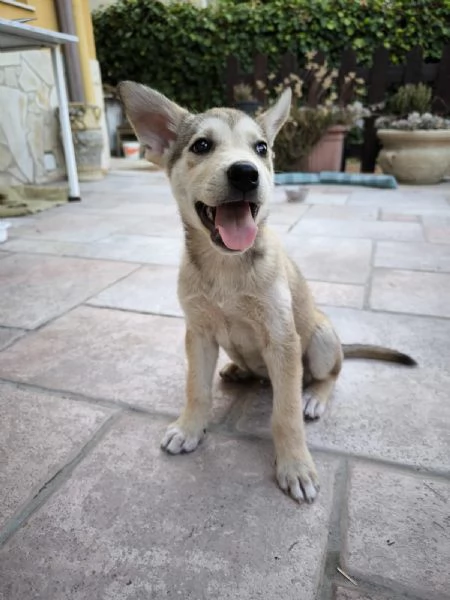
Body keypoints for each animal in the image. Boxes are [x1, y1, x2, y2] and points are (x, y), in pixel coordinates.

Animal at [117, 83, 414, 506]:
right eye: (201, 145)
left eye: (260, 148)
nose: (245, 173)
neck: (227, 266)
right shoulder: (198, 333)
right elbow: (196, 389)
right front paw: (190, 428)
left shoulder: (282, 339)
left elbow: (284, 415)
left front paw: (295, 466)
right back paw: (237, 370)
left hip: (321, 338)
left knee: (331, 374)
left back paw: (314, 397)